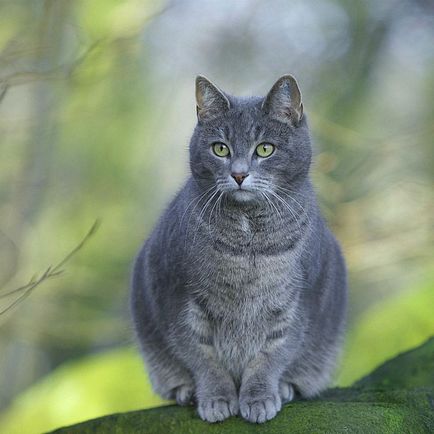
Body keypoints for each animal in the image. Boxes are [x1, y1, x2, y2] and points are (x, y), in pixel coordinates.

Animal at [131, 74, 348, 424]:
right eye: (220, 148)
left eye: (265, 148)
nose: (239, 173)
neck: (248, 243)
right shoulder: (181, 302)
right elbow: (202, 357)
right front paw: (217, 399)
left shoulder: (294, 306)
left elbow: (271, 357)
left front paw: (260, 397)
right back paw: (186, 392)